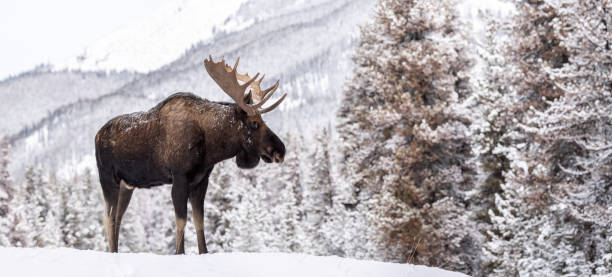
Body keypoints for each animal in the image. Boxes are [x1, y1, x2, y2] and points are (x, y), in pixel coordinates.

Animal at [94, 55, 288, 252]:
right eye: (254, 123)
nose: (281, 150)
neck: (211, 146)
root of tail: (97, 135)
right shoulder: (179, 178)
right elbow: (181, 222)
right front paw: (179, 252)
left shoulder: (200, 181)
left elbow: (199, 222)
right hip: (108, 178)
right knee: (108, 218)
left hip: (127, 185)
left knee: (118, 218)